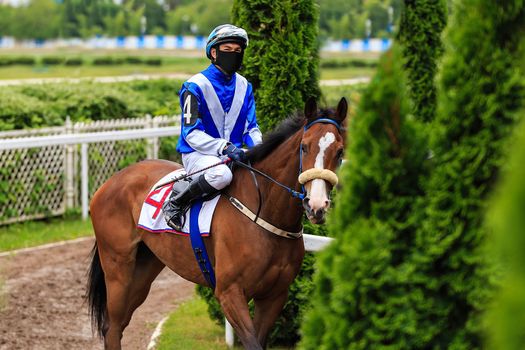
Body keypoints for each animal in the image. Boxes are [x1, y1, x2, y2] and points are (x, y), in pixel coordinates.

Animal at [86, 97, 348, 348]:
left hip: (144, 268)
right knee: (112, 327)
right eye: (304, 146)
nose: (316, 205)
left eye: (340, 152)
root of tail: (112, 181)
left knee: (118, 325)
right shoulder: (230, 292)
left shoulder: (274, 296)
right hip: (117, 267)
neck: (265, 216)